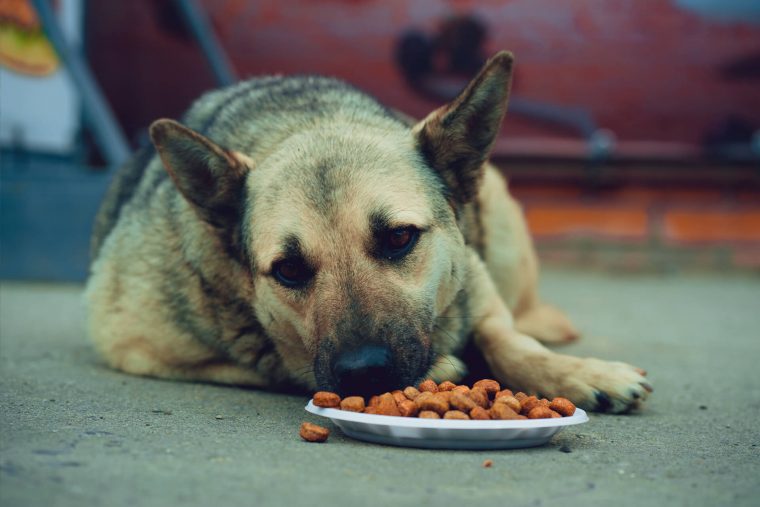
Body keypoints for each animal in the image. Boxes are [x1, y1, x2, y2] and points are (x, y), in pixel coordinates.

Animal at [86, 50, 652, 412]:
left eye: (399, 238)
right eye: (288, 269)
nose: (365, 373)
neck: (304, 123)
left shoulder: (478, 286)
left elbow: (507, 339)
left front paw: (580, 373)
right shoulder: (131, 341)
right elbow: (277, 364)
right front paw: (447, 367)